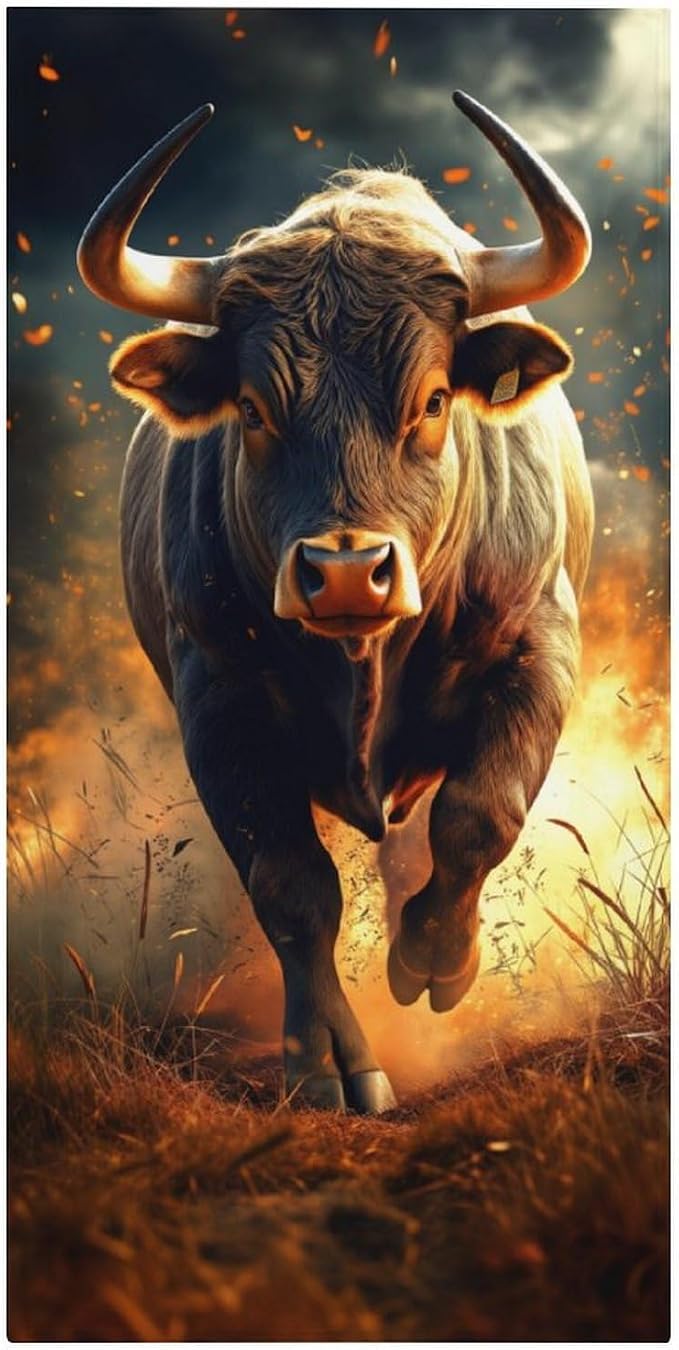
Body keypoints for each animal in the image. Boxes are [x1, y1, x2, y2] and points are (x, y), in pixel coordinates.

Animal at [77, 91, 594, 1114]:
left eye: (431, 400)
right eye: (250, 408)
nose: (347, 573)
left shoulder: (536, 648)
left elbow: (479, 815)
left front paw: (437, 961)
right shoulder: (219, 699)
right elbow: (292, 887)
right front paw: (326, 1062)